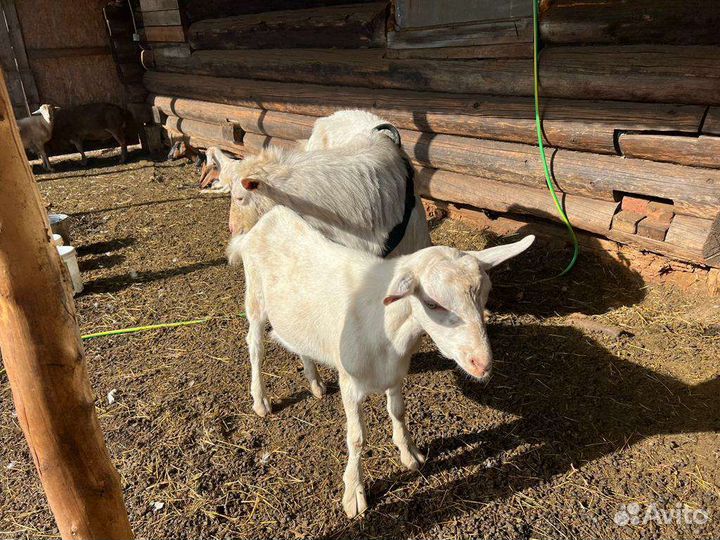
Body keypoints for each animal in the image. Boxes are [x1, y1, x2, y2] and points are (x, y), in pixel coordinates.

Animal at [228, 206, 534, 517]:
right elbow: (356, 437)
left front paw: (409, 454)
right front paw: (354, 492)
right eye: (431, 303)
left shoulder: (395, 372)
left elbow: (398, 411)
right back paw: (260, 400)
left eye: (485, 295)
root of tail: (270, 217)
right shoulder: (350, 383)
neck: (387, 327)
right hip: (255, 299)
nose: (482, 363)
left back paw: (315, 384)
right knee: (255, 345)